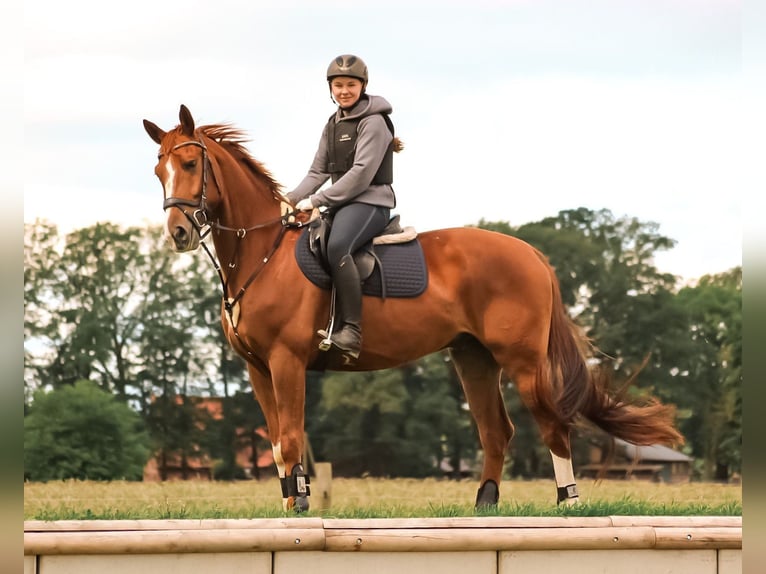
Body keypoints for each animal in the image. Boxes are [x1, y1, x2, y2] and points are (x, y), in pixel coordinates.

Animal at [144, 103, 684, 512]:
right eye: (157, 170)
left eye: (190, 165)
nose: (179, 233)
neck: (262, 253)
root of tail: (529, 252)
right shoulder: (258, 369)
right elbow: (277, 444)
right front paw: (286, 508)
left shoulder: (287, 362)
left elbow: (292, 438)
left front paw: (299, 509)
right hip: (473, 358)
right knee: (497, 431)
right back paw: (484, 504)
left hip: (524, 361)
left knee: (553, 422)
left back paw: (567, 503)